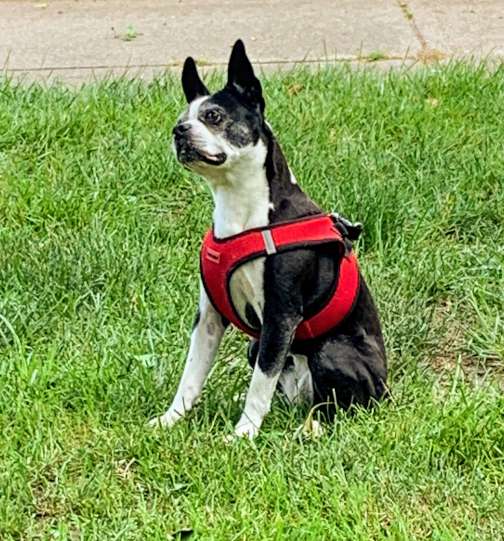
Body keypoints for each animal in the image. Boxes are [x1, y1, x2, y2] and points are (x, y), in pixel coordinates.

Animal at [150, 41, 386, 438]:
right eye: (184, 116)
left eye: (213, 116)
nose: (178, 130)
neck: (240, 208)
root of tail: (388, 388)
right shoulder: (209, 319)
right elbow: (191, 374)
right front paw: (171, 419)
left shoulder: (280, 316)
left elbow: (259, 385)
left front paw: (243, 434)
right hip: (256, 345)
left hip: (332, 353)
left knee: (344, 406)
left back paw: (311, 428)